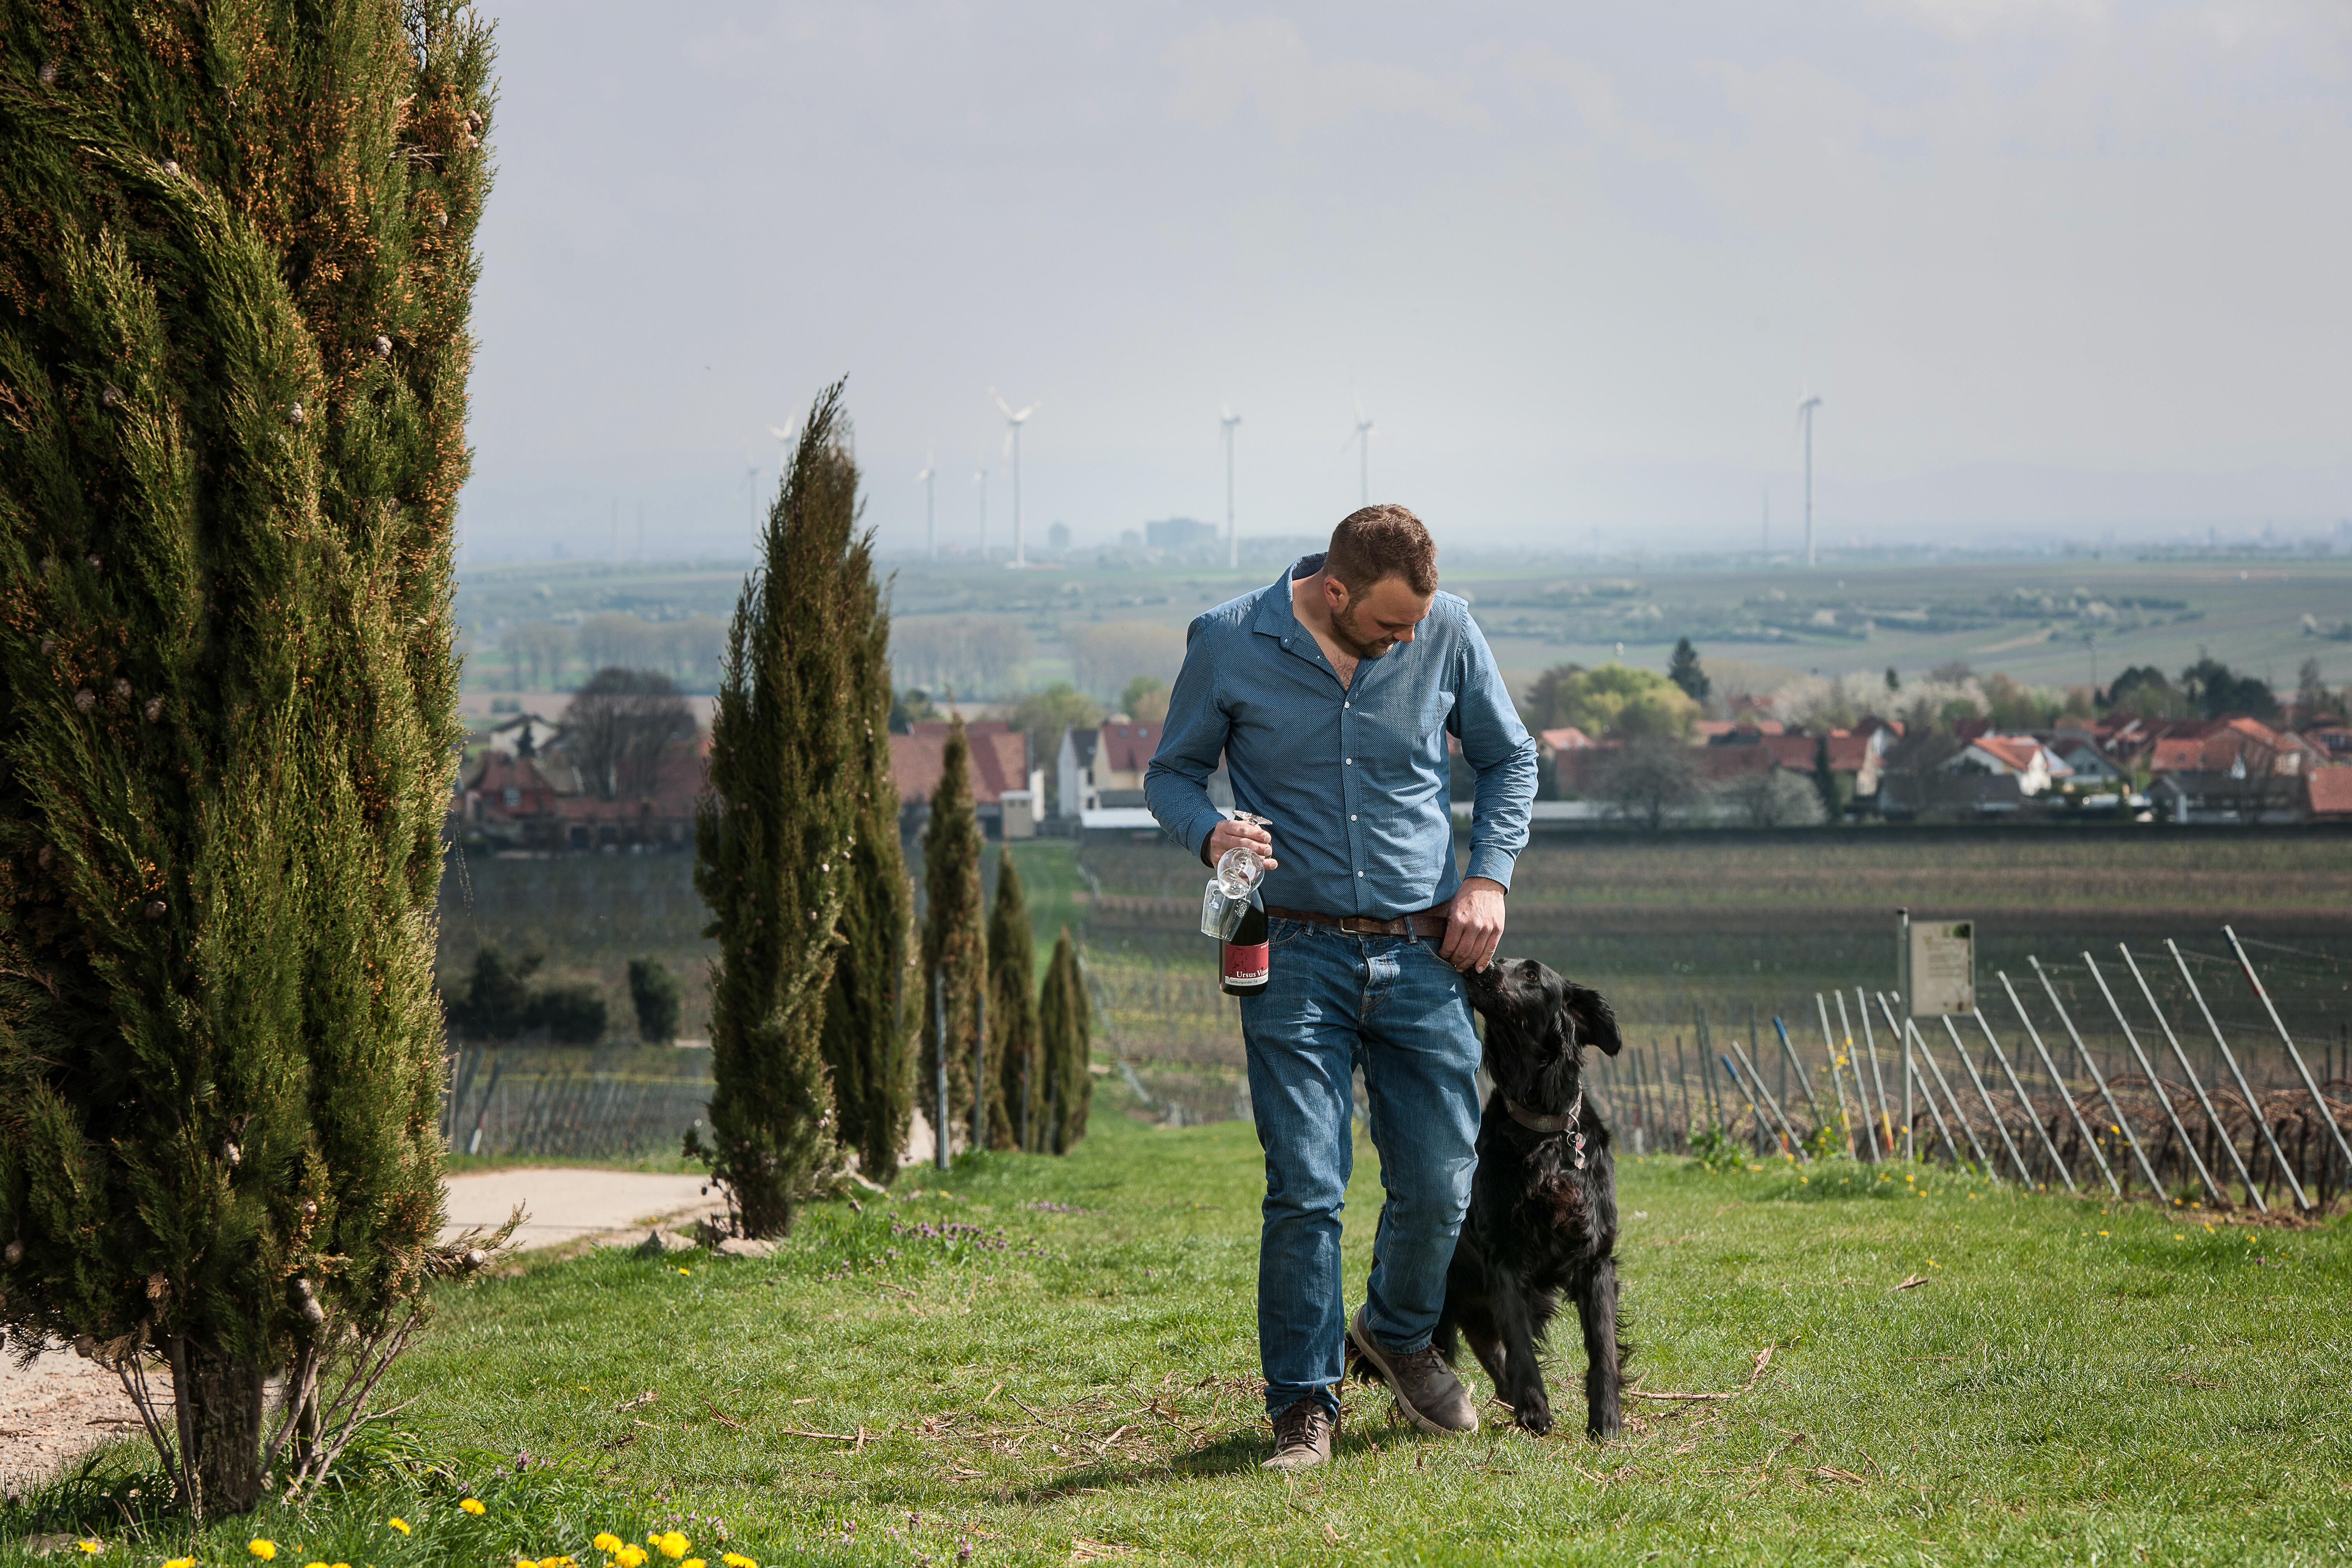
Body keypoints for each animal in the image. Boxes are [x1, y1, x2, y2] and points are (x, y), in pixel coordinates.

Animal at [1439, 950, 1628, 1438]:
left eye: (1530, 975)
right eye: (1502, 959)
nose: (1479, 965)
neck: (1543, 1130)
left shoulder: (1596, 1257)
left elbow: (1604, 1347)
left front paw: (1606, 1421)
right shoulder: (1503, 1257)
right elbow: (1521, 1343)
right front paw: (1535, 1413)